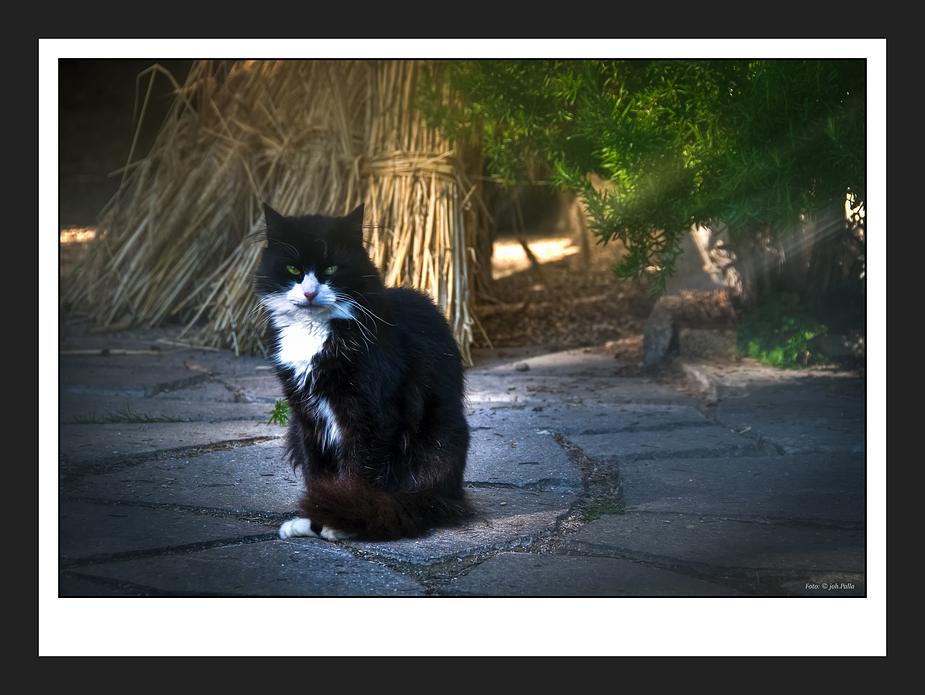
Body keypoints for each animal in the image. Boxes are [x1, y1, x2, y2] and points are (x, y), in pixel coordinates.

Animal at [253, 203, 472, 544]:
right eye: (292, 270)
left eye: (331, 270)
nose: (310, 293)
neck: (315, 332)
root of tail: (451, 495)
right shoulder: (305, 414)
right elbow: (317, 473)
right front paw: (317, 518)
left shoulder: (369, 414)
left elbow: (358, 472)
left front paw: (340, 519)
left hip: (439, 438)